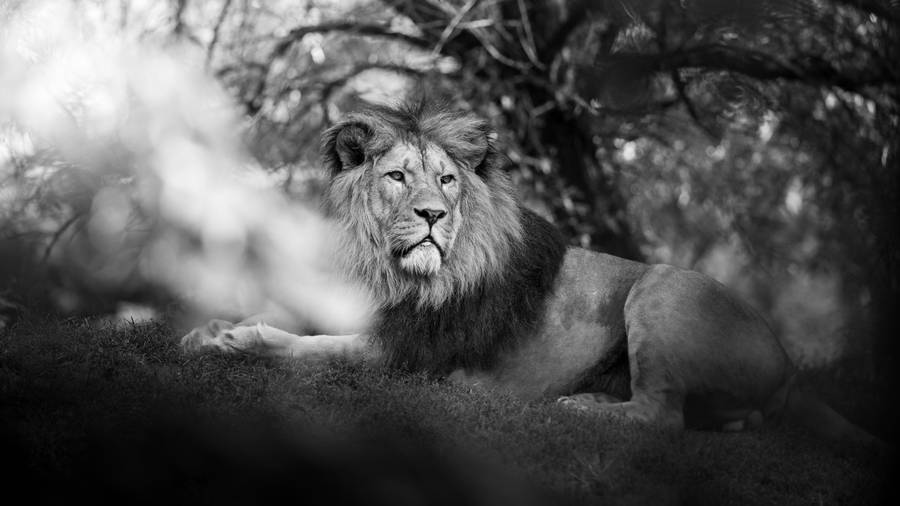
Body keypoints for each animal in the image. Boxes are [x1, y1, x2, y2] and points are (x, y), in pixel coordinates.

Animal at [182, 98, 880, 447]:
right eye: (398, 176)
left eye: (447, 180)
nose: (433, 215)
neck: (387, 269)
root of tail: (788, 365)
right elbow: (289, 321)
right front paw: (207, 329)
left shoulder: (402, 355)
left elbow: (309, 348)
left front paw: (238, 339)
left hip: (665, 285)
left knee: (662, 417)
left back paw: (581, 410)